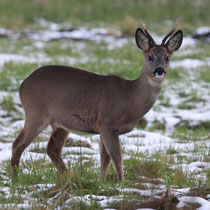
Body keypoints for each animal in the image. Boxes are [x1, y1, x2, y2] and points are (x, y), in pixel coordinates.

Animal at [11, 22, 182, 181]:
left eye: (167, 57)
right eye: (149, 57)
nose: (159, 70)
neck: (130, 98)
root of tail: (23, 84)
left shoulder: (102, 128)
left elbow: (104, 158)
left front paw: (102, 182)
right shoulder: (107, 123)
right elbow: (117, 156)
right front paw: (121, 183)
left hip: (60, 123)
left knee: (52, 149)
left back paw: (69, 177)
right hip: (36, 113)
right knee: (17, 144)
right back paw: (16, 179)